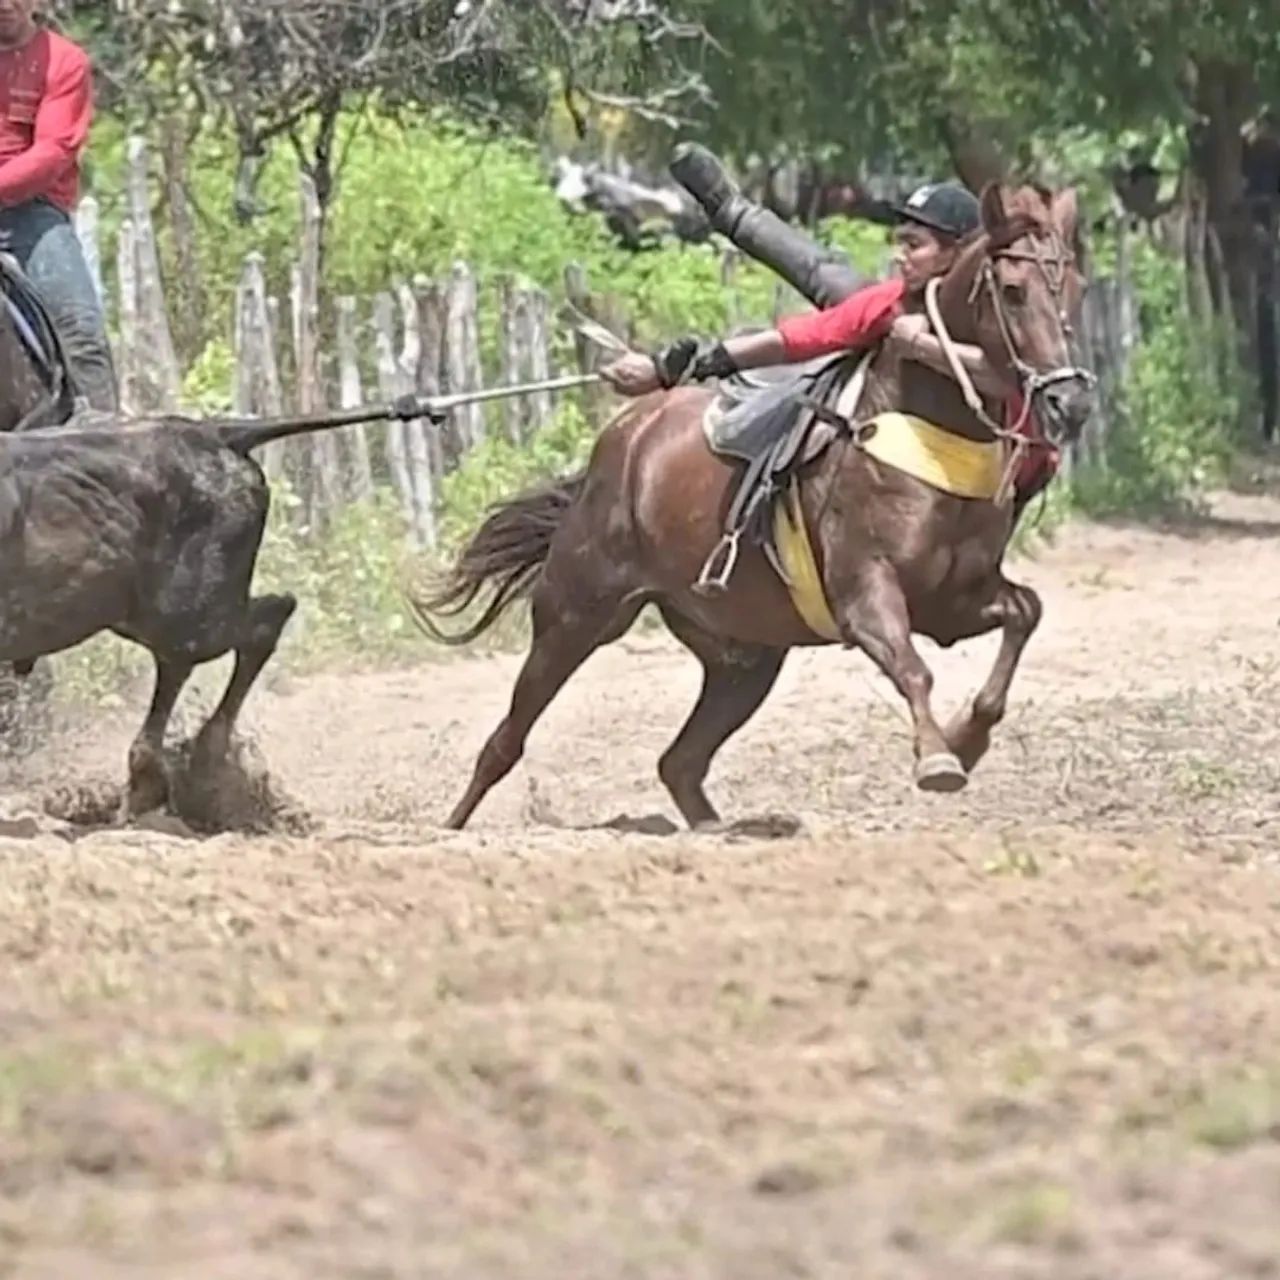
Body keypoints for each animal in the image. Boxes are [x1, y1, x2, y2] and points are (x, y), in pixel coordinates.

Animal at [412, 182, 1094, 830]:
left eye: (1076, 288)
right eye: (1013, 290)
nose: (1072, 402)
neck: (928, 430)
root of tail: (623, 440)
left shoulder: (952, 602)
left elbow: (1024, 614)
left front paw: (968, 738)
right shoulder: (867, 597)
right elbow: (913, 668)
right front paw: (939, 758)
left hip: (744, 655)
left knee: (680, 763)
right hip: (576, 615)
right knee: (506, 742)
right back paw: (449, 829)